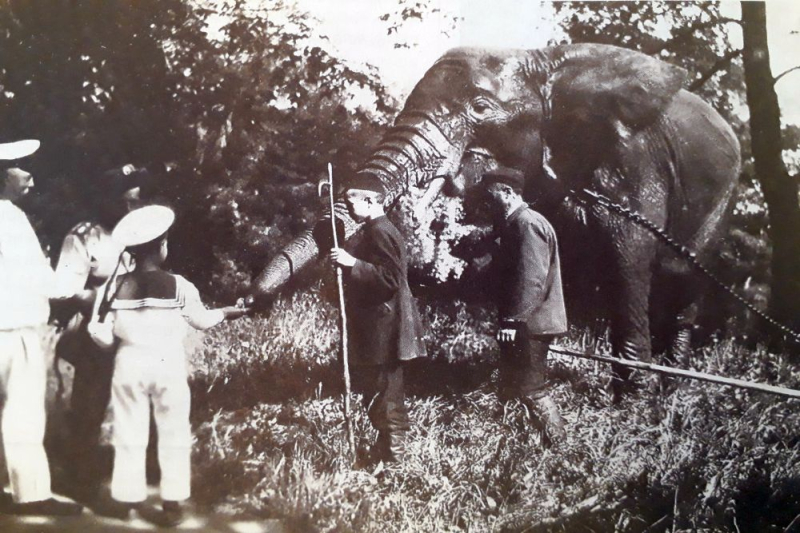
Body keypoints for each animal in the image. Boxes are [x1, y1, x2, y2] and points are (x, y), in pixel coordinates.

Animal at [253, 42, 740, 382]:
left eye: (481, 108)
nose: (252, 300)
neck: (545, 64)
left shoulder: (633, 164)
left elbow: (628, 263)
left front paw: (634, 414)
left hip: (721, 201)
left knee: (680, 285)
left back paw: (672, 387)